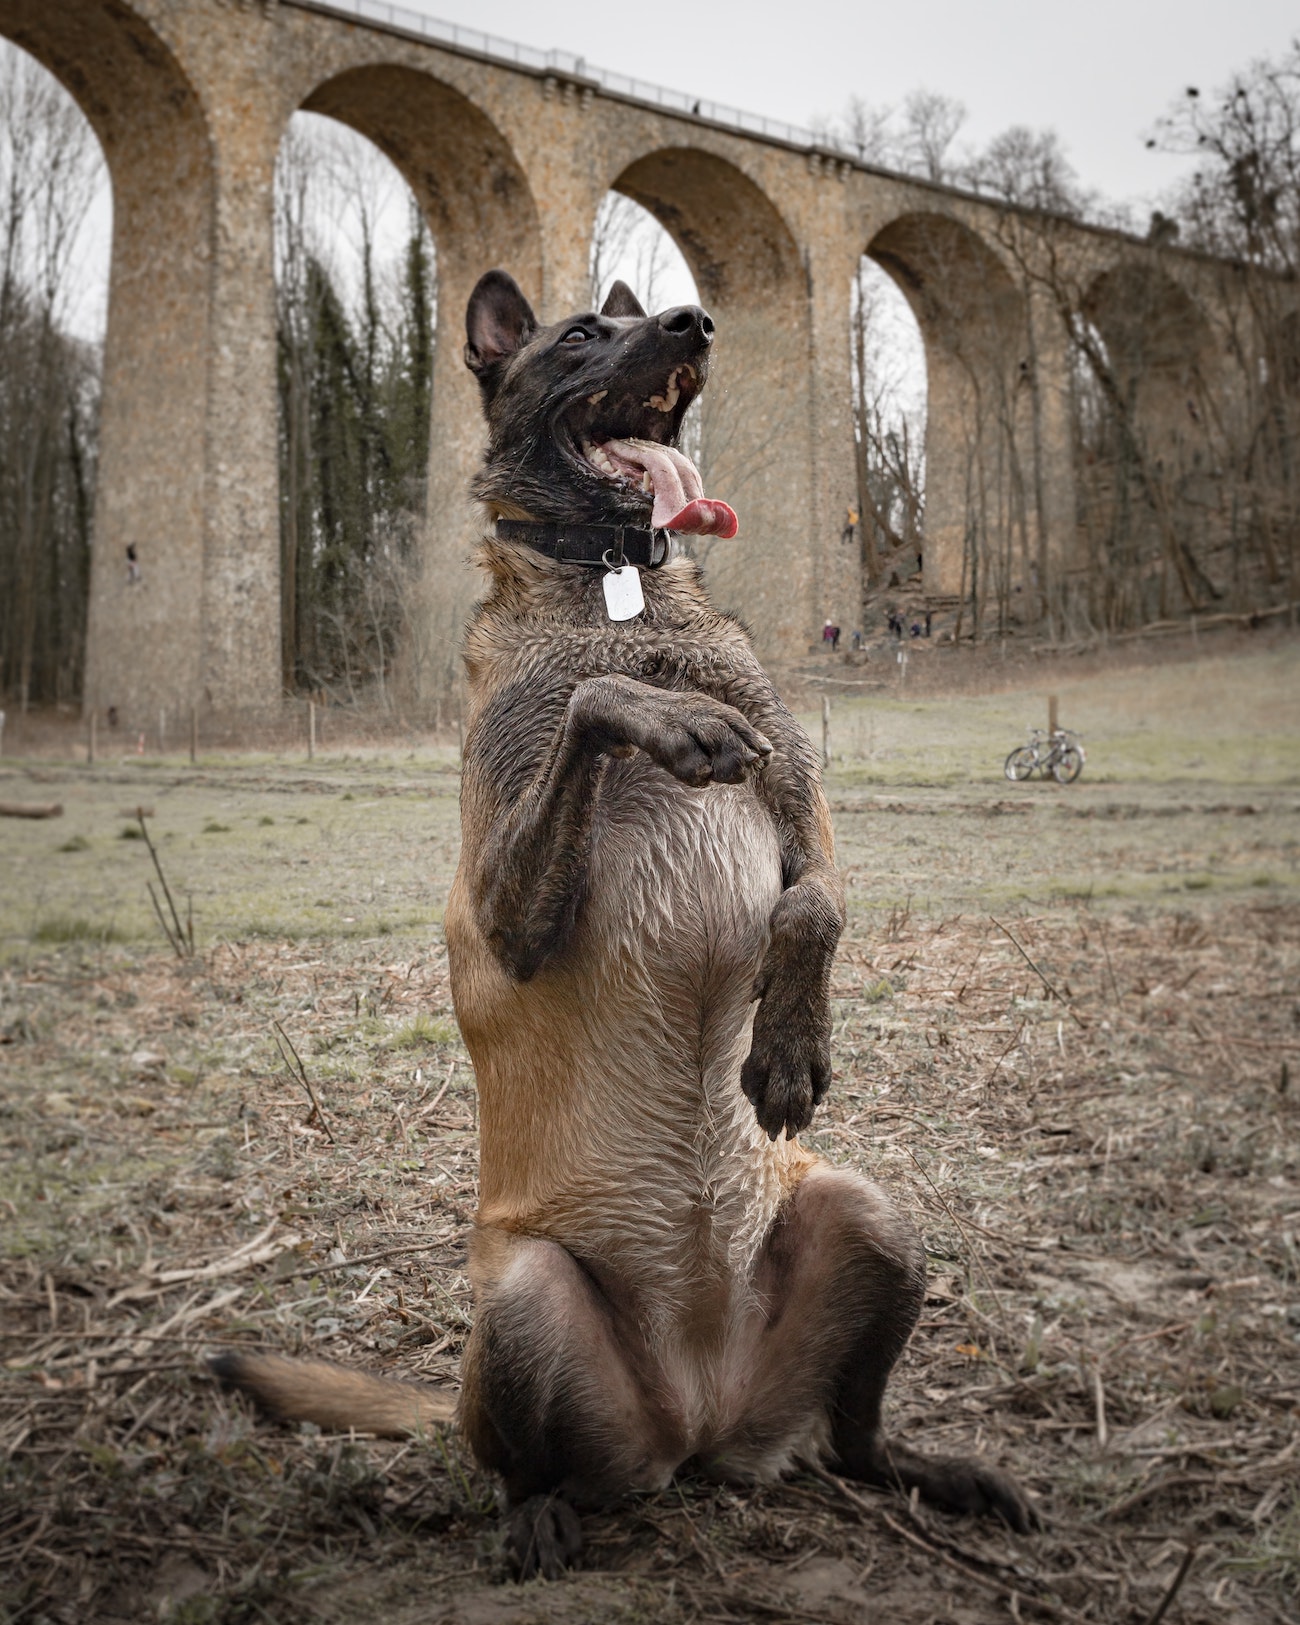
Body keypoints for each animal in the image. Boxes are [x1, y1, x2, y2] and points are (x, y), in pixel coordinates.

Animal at [211, 273, 1033, 1579]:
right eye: (580, 337)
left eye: (645, 316)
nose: (695, 323)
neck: (616, 583)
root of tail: (698, 1420)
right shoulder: (498, 913)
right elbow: (598, 701)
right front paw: (667, 714)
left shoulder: (804, 811)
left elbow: (811, 901)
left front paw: (788, 1044)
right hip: (528, 1297)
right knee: (522, 1465)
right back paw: (535, 1514)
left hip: (873, 1218)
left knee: (854, 1441)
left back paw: (929, 1468)